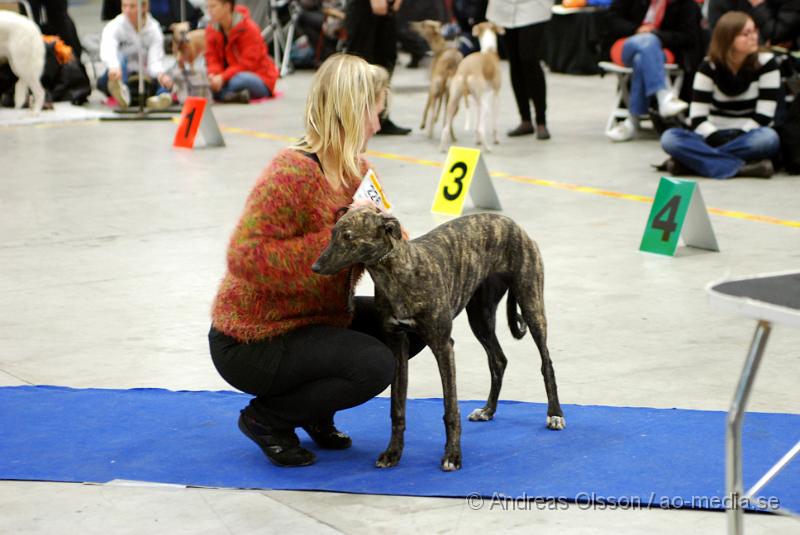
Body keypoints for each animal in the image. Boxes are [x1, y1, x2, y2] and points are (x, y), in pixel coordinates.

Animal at [310, 207, 564, 472]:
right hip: (480, 316)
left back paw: (555, 414)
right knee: (498, 360)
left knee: (546, 362)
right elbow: (397, 408)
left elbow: (450, 409)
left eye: (348, 236)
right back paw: (488, 410)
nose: (315, 267)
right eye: (332, 233)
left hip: (531, 302)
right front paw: (393, 453)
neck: (398, 273)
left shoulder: (443, 345)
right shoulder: (397, 345)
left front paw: (452, 455)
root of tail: (512, 224)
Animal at [440, 22, 504, 152]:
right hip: (481, 101)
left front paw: (477, 141)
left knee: (445, 129)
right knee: (481, 128)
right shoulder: (495, 94)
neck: (489, 51)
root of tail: (465, 72)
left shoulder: (477, 99)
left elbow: (476, 122)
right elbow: (494, 120)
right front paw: (496, 139)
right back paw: (488, 148)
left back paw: (443, 148)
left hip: (454, 100)